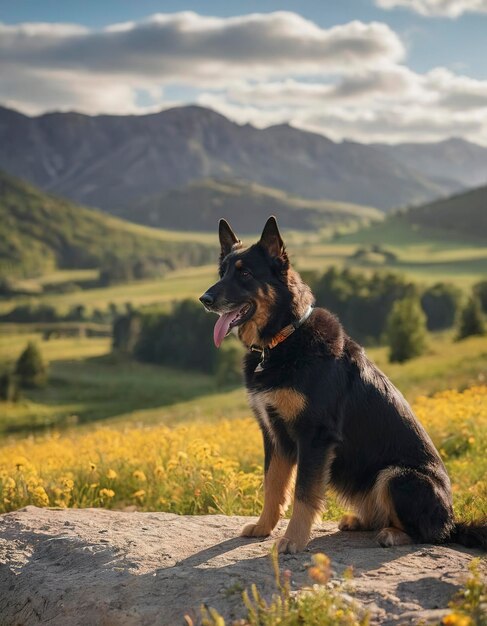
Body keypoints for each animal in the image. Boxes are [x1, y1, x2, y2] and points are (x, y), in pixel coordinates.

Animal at [199, 214, 487, 552]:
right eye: (223, 272)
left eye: (244, 273)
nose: (204, 299)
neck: (284, 337)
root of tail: (453, 520)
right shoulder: (275, 436)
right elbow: (273, 486)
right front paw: (263, 527)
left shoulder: (314, 437)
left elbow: (304, 494)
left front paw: (293, 540)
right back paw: (360, 521)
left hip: (397, 476)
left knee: (429, 533)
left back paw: (394, 534)